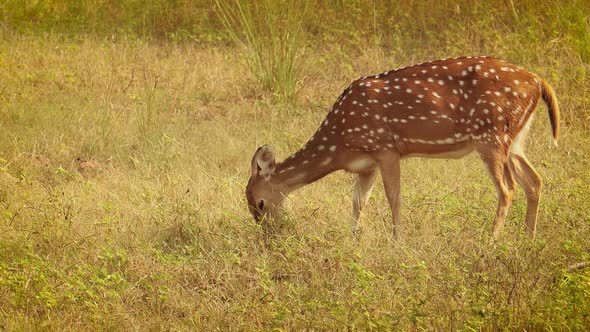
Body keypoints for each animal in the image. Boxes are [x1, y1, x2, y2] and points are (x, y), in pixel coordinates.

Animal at [247, 57, 560, 239]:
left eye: (260, 203)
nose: (269, 236)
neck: (339, 142)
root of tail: (539, 81)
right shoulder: (366, 164)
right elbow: (358, 201)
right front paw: (352, 239)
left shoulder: (385, 147)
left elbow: (393, 197)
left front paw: (397, 240)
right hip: (515, 140)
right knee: (535, 180)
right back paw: (527, 239)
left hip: (491, 135)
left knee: (507, 189)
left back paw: (491, 240)